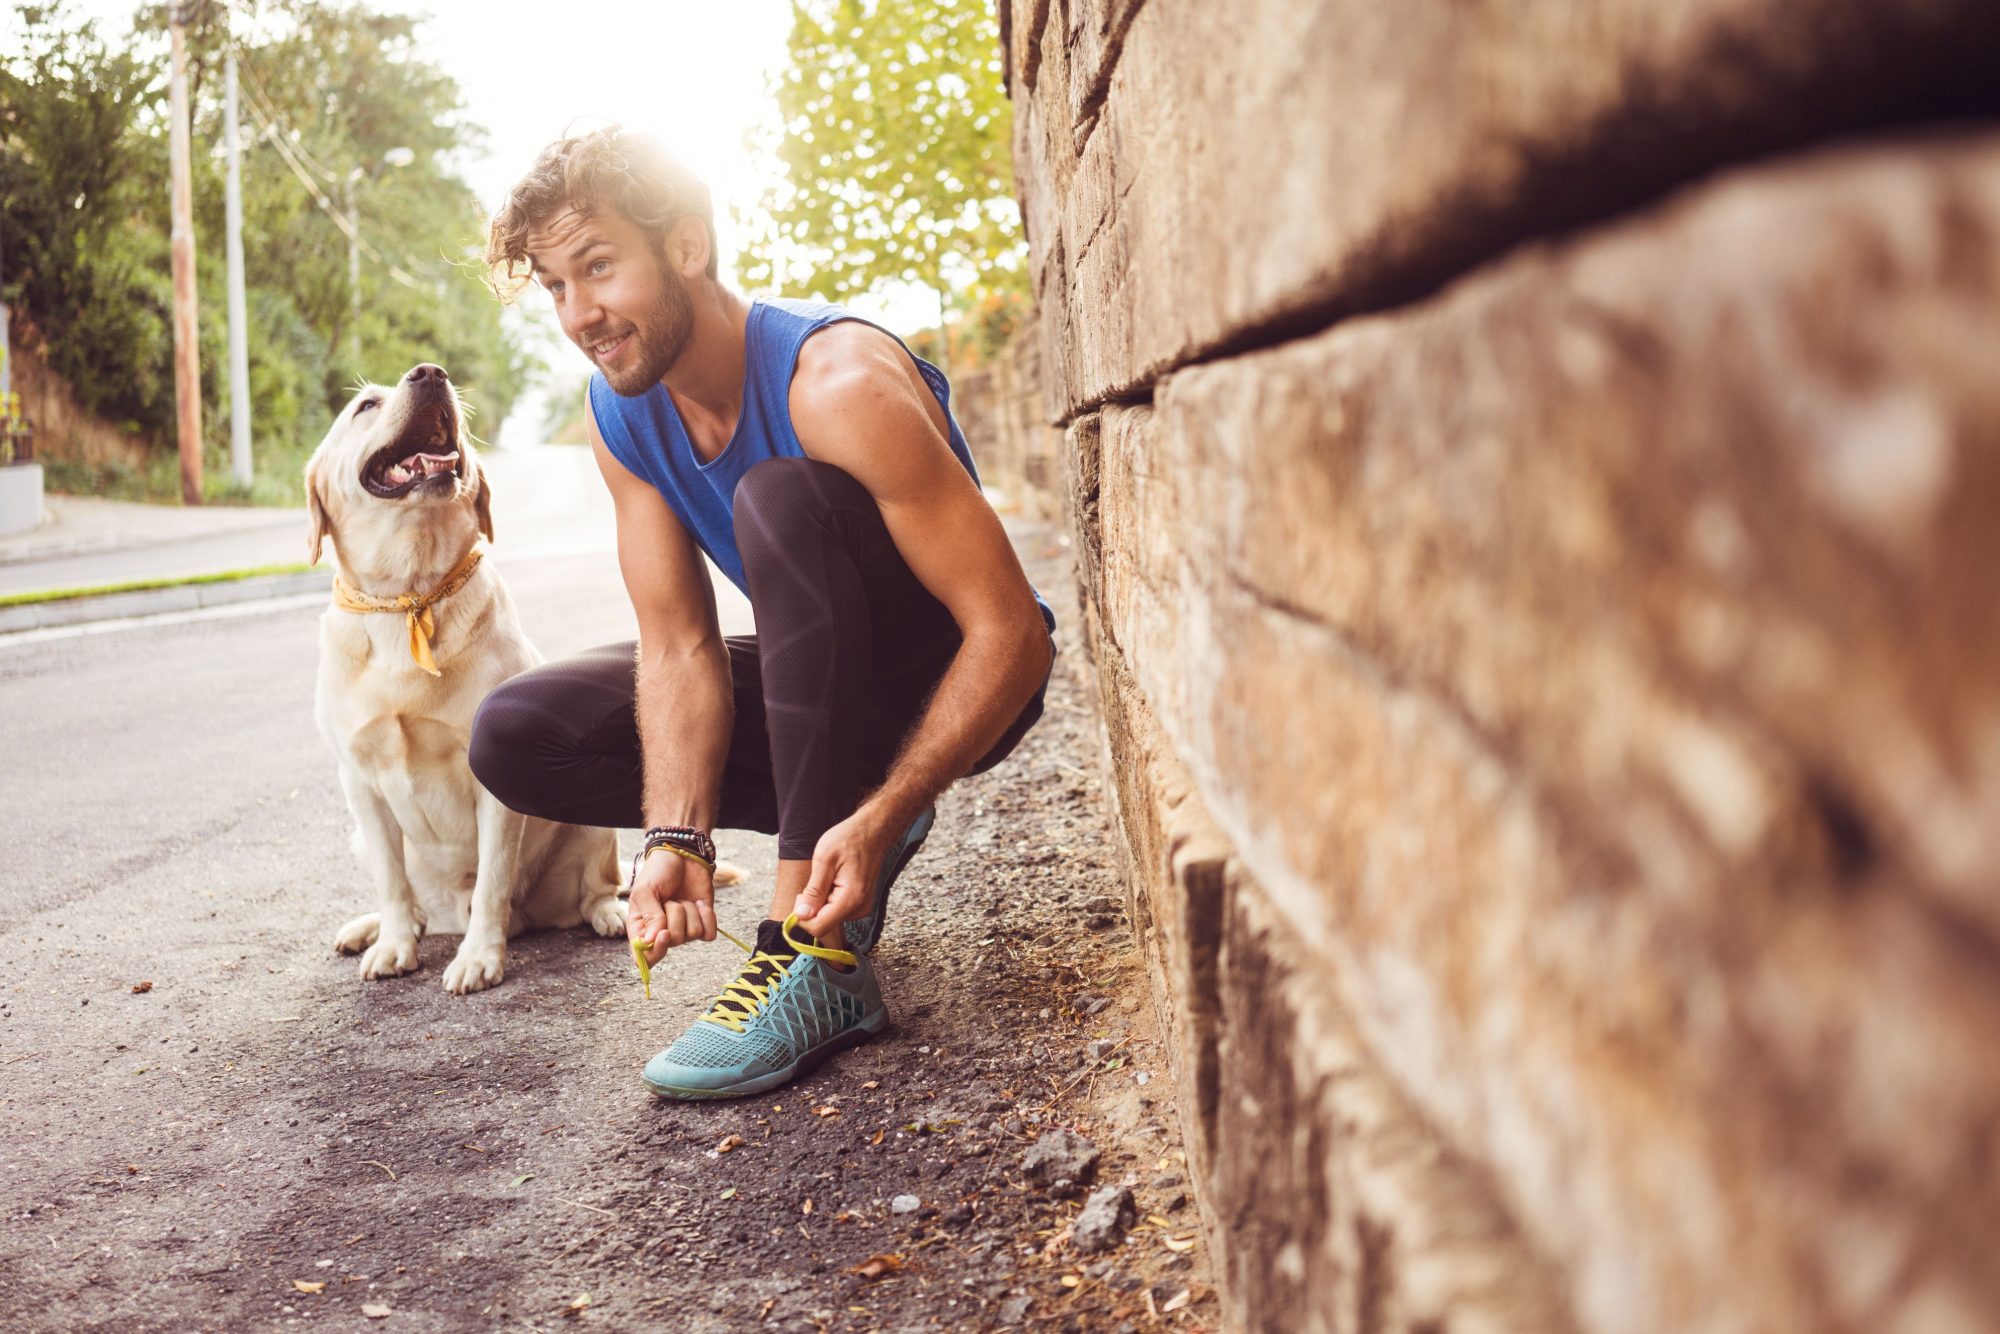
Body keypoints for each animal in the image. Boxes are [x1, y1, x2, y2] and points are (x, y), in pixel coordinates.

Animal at [306, 362, 624, 992]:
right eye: (365, 406)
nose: (430, 373)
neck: (409, 594)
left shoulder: (492, 782)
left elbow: (493, 878)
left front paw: (479, 956)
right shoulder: (358, 780)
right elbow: (392, 879)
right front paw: (394, 944)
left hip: (591, 826)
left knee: (595, 889)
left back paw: (611, 915)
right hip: (359, 837)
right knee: (414, 900)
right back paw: (371, 928)